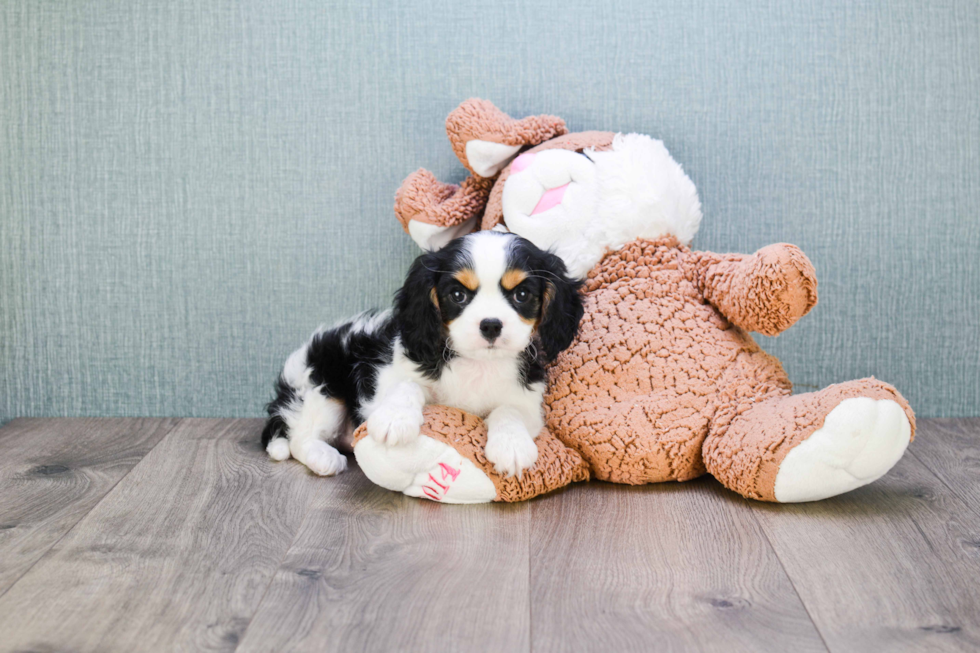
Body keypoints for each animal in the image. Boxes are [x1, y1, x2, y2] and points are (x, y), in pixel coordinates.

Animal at [258, 232, 580, 476]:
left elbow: (508, 410)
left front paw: (511, 446)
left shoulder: (527, 402)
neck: (476, 362)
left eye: (522, 295)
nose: (490, 325)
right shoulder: (386, 381)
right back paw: (323, 457)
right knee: (298, 437)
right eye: (458, 295)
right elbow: (407, 385)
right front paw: (395, 420)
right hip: (320, 386)